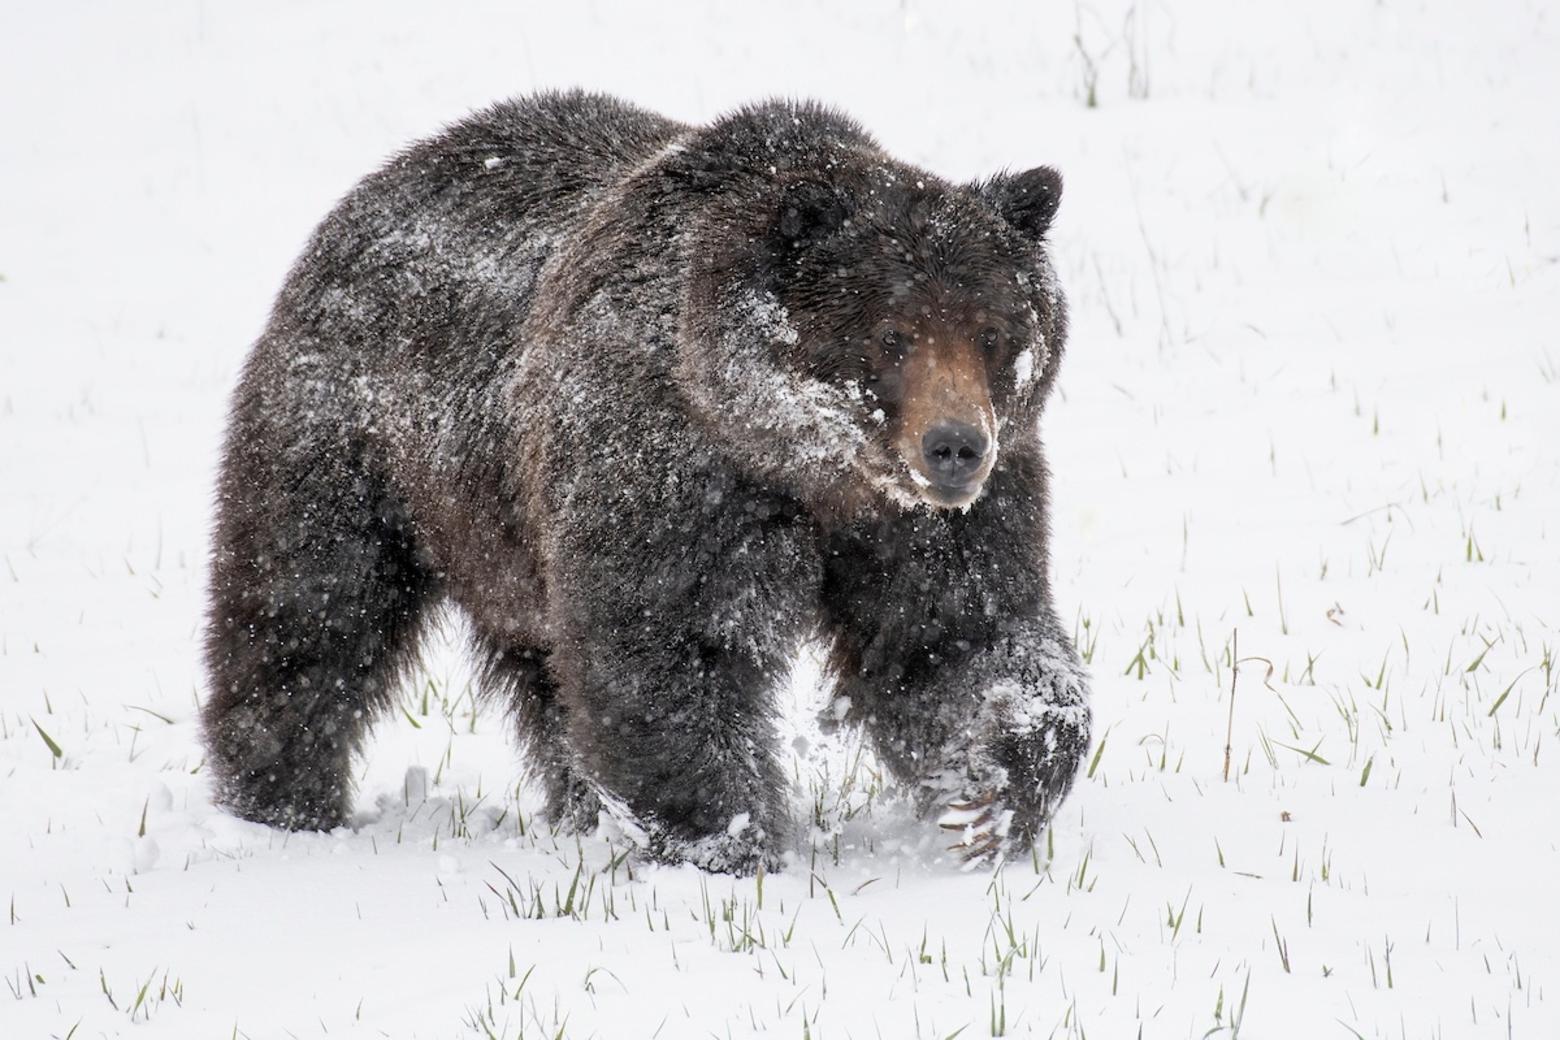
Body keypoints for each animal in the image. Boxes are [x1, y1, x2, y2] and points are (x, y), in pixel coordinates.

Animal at [201, 89, 1092, 873]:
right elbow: (666, 648)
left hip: (510, 541)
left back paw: (578, 809)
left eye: (992, 329)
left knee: (545, 678)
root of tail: (375, 186)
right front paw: (726, 839)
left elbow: (956, 638)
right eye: (892, 334)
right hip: (356, 443)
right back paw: (282, 799)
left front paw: (991, 795)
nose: (955, 447)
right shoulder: (668, 476)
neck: (804, 467)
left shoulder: (929, 523)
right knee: (309, 608)